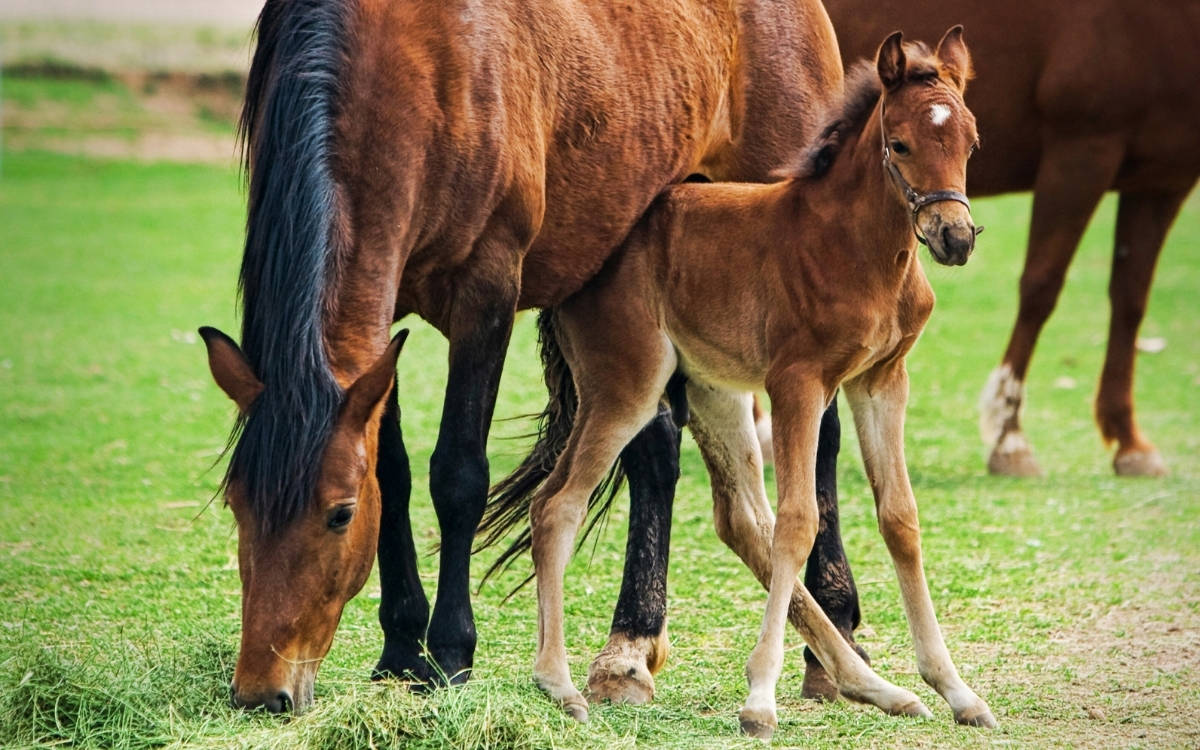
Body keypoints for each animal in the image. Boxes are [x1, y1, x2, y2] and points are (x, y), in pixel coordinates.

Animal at [199, 0, 854, 715]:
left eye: (339, 514)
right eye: (236, 504)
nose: (262, 691)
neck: (407, 64)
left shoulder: (486, 291)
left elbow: (457, 475)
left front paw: (450, 653)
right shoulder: (381, 320)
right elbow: (393, 474)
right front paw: (401, 649)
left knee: (821, 436)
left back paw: (834, 633)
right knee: (656, 448)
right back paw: (630, 650)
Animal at [492, 30, 988, 739]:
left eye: (971, 142)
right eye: (900, 144)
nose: (954, 237)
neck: (858, 247)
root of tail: (578, 269)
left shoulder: (881, 380)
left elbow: (899, 519)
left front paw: (956, 690)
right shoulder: (798, 382)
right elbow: (799, 522)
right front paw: (759, 700)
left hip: (710, 389)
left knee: (741, 519)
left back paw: (878, 688)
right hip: (627, 386)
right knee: (556, 505)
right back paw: (560, 685)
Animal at [820, 0, 1200, 477]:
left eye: (973, 146)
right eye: (901, 146)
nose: (956, 237)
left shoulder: (1163, 180)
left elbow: (1131, 301)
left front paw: (1131, 444)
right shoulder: (1082, 148)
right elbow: (1041, 287)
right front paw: (1009, 438)